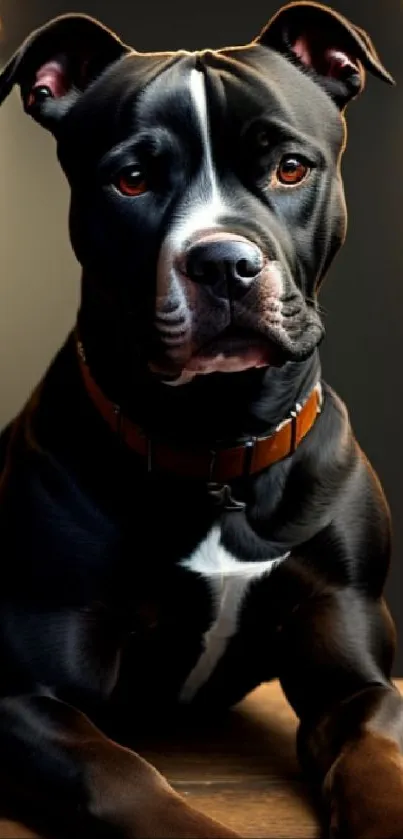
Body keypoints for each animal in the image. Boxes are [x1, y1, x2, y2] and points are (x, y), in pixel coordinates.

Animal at [0, 4, 403, 839]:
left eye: (289, 168)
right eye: (132, 179)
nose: (223, 264)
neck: (218, 446)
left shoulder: (354, 674)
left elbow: (376, 765)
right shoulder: (31, 694)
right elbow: (122, 777)